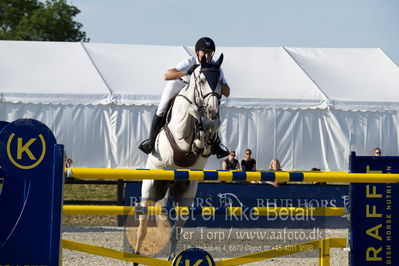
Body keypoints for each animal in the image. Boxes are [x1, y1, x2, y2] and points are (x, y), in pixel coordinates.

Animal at [135, 54, 225, 262]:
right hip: (150, 188)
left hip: (185, 194)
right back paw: (136, 253)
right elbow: (191, 113)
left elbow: (213, 126)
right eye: (202, 80)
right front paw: (199, 125)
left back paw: (171, 258)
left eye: (219, 81)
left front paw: (206, 138)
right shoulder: (179, 131)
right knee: (143, 223)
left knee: (176, 229)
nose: (213, 109)